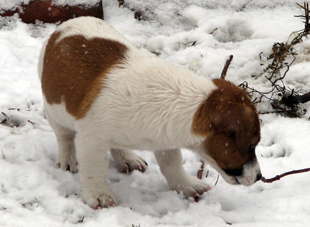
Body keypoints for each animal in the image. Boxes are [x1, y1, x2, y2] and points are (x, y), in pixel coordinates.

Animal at [38, 16, 262, 209]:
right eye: (252, 145)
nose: (260, 177)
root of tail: (67, 24)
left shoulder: (165, 142)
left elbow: (172, 165)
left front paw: (185, 185)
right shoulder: (91, 140)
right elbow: (94, 169)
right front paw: (100, 196)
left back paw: (127, 157)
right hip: (53, 110)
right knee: (65, 136)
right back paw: (68, 159)